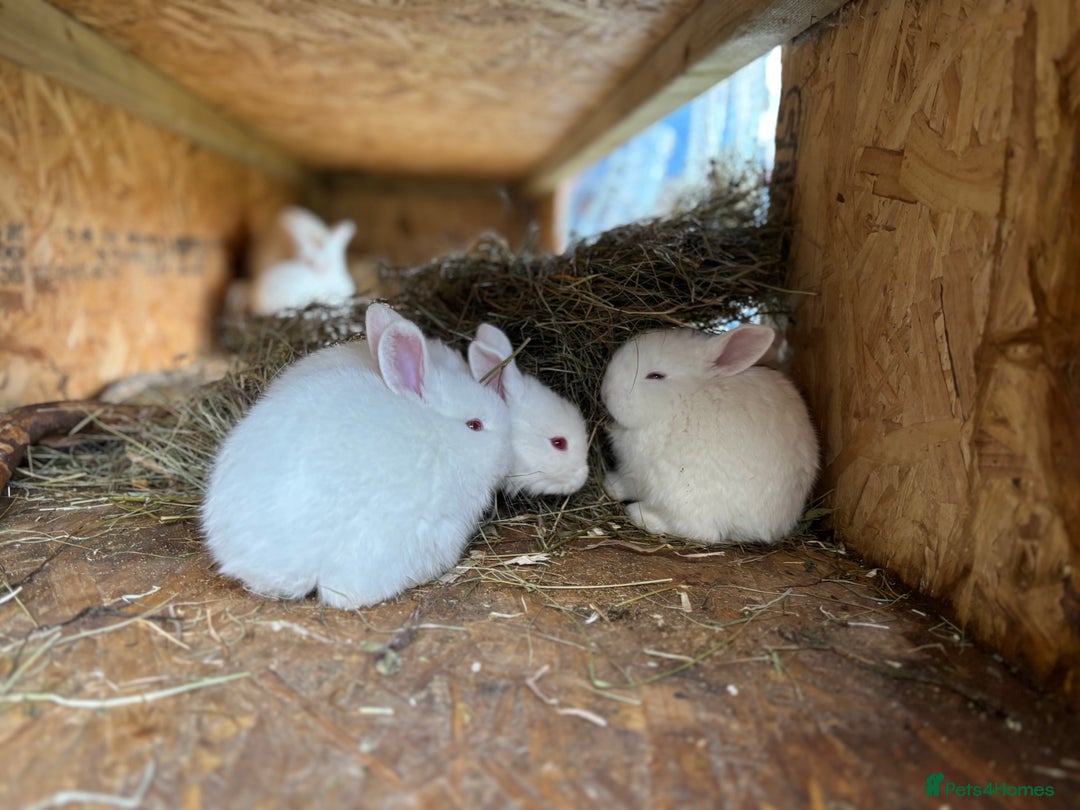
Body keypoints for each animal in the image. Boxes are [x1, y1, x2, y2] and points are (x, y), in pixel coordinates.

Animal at [600, 323, 819, 545]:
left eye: (655, 376)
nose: (605, 394)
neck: (681, 401)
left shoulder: (642, 469)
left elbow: (633, 482)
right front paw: (610, 485)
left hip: (684, 495)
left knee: (702, 532)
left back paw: (639, 514)